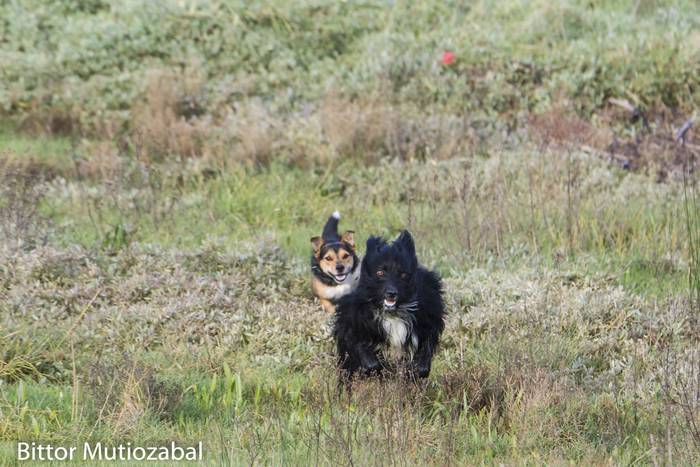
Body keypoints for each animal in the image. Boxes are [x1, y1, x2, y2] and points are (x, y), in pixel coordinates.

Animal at [332, 230, 442, 380]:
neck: (392, 313)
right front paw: (381, 371)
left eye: (403, 274)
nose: (392, 293)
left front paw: (412, 372)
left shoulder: (428, 320)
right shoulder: (353, 322)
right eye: (380, 272)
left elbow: (424, 360)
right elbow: (366, 355)